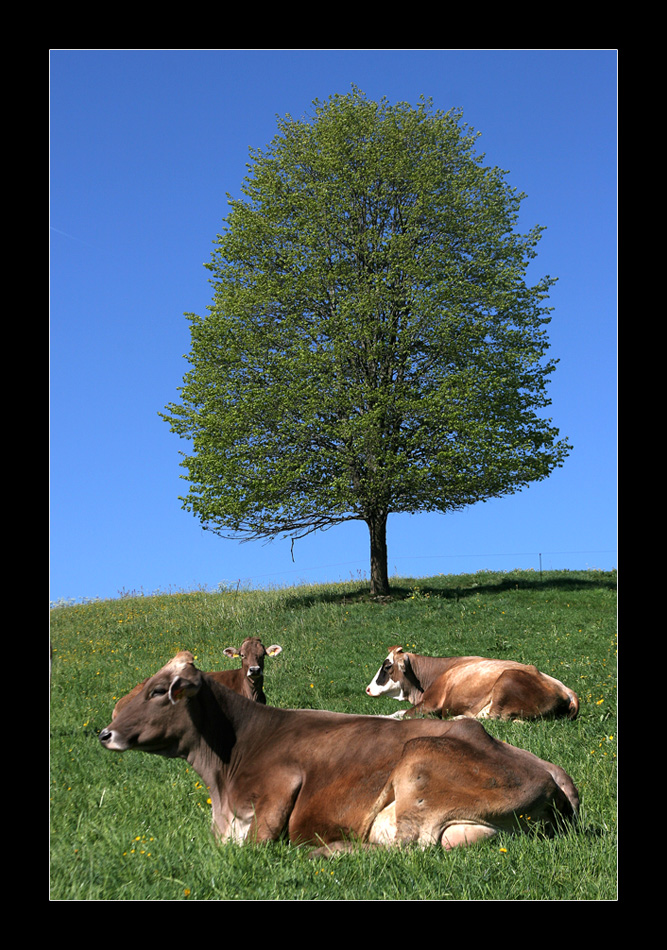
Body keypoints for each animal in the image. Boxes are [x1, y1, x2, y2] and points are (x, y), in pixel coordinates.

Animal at [99, 656, 580, 856]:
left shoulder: (280, 788)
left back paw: (329, 850)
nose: (106, 733)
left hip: (417, 764)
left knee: (406, 849)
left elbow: (257, 846)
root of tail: (552, 781)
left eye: (158, 691)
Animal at [366, 648, 580, 720]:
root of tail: (567, 690)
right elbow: (397, 712)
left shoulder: (430, 704)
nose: (368, 689)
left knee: (494, 719)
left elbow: (403, 716)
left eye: (387, 666)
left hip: (507, 680)